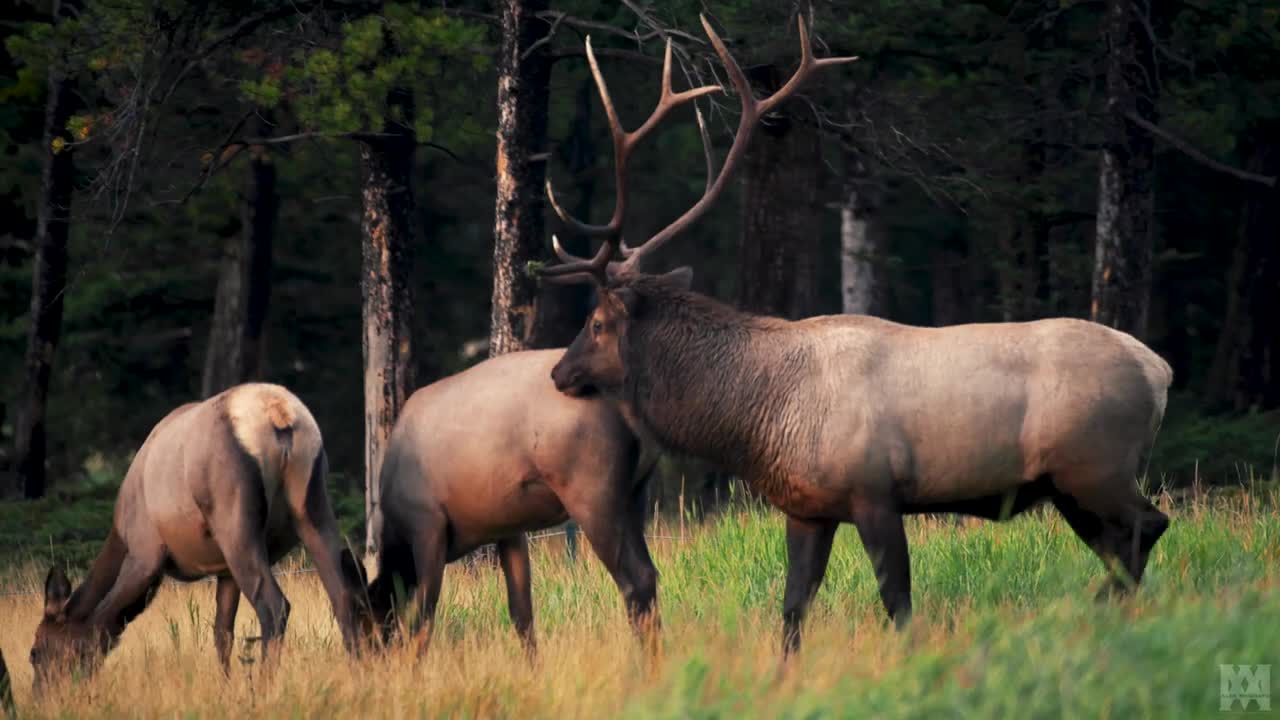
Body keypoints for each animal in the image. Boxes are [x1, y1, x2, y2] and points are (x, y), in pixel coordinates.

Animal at [30, 381, 368, 691]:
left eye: (35, 652)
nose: (40, 697)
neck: (119, 535)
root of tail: (279, 414)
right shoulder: (224, 571)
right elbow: (222, 634)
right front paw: (226, 689)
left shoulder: (145, 554)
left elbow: (102, 622)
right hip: (313, 505)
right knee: (343, 594)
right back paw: (357, 676)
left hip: (235, 521)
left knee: (275, 605)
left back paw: (265, 688)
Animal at [360, 345, 660, 653]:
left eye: (368, 630)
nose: (367, 659)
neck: (395, 530)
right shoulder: (508, 531)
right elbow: (521, 614)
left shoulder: (427, 527)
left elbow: (421, 617)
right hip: (635, 493)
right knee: (649, 574)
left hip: (591, 493)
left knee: (635, 579)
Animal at [535, 15, 1172, 655]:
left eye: (596, 324)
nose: (558, 372)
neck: (758, 416)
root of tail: (1159, 370)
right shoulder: (808, 506)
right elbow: (793, 606)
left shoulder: (874, 491)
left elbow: (897, 599)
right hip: (1071, 483)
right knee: (1124, 542)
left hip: (1093, 463)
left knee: (1148, 527)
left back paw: (1092, 611)